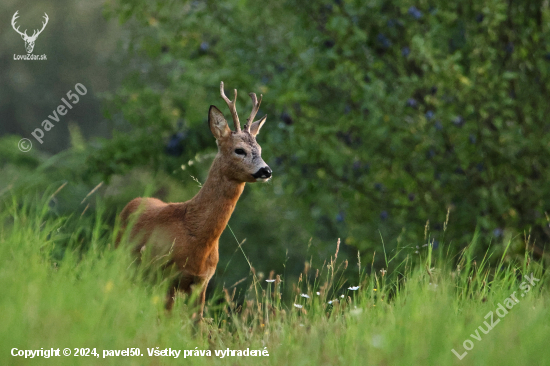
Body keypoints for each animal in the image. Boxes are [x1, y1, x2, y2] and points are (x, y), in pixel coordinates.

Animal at [117, 81, 272, 316]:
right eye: (239, 150)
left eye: (260, 149)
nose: (266, 170)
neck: (197, 236)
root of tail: (132, 202)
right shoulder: (167, 276)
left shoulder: (202, 283)